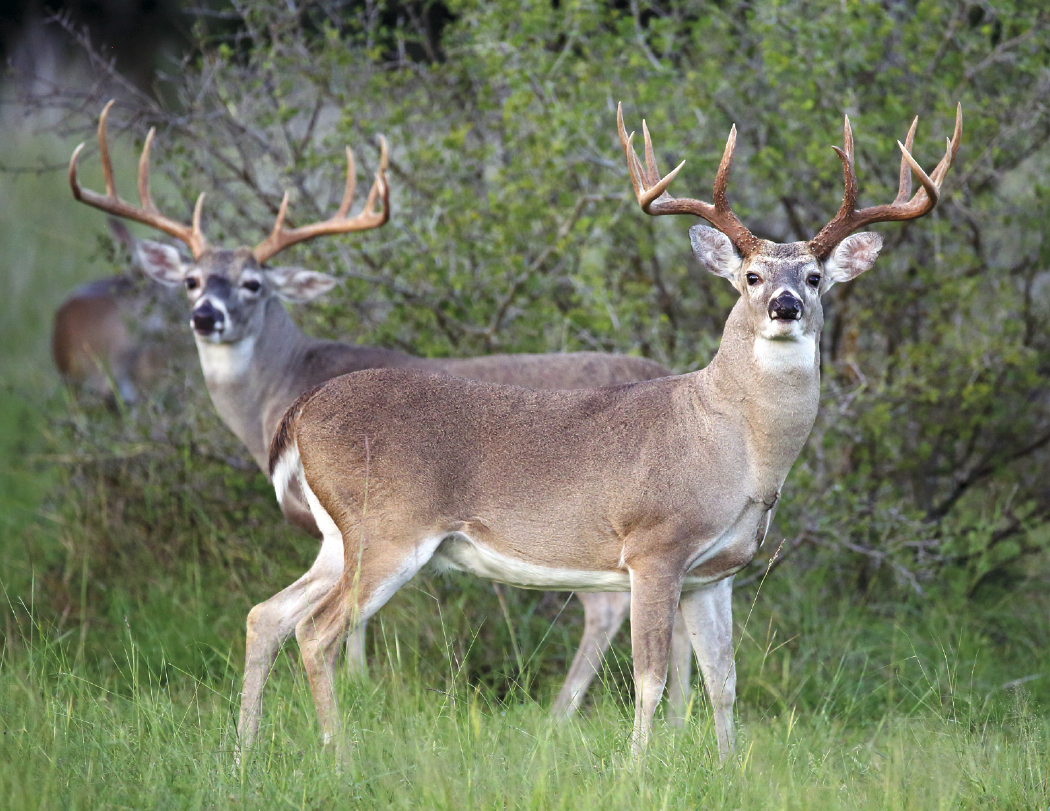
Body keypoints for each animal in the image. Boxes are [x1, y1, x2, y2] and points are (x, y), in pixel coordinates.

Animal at [67, 102, 696, 753]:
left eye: (253, 283)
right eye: (191, 279)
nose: (205, 316)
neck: (284, 383)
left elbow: (354, 631)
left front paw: (359, 692)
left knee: (610, 608)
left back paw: (563, 718)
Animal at [266, 102, 961, 760]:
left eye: (814, 278)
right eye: (752, 276)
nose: (784, 306)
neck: (735, 447)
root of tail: (301, 410)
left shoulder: (716, 574)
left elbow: (724, 680)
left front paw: (729, 769)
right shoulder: (654, 548)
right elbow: (651, 678)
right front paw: (638, 769)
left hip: (340, 538)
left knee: (267, 615)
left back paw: (250, 748)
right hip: (387, 530)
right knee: (316, 633)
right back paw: (339, 756)